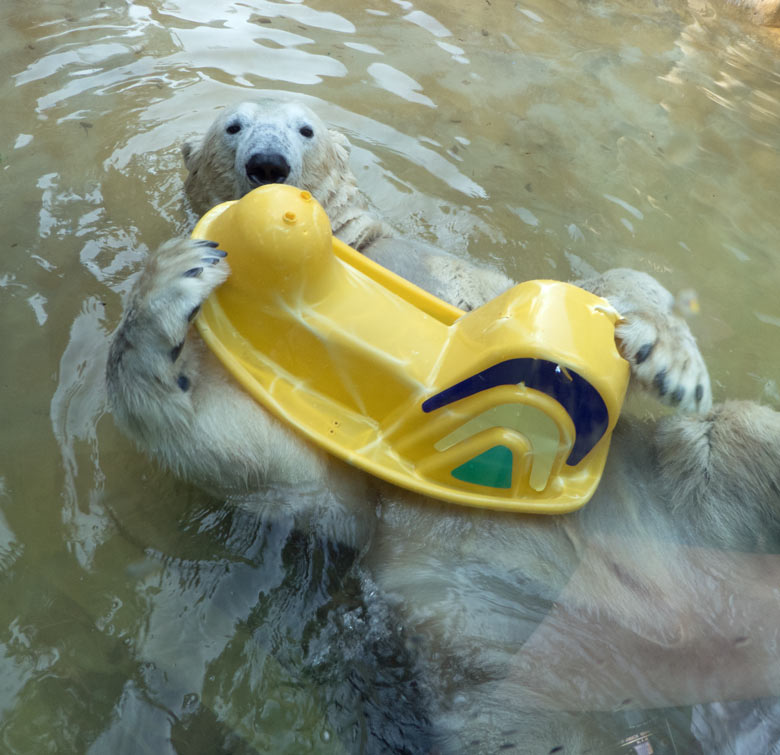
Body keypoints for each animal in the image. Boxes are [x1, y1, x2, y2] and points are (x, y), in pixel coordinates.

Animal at [108, 97, 780, 752]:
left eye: (305, 129)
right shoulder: (345, 477)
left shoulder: (452, 272)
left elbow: (571, 293)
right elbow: (266, 460)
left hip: (676, 511)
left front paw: (667, 359)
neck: (357, 256)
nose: (268, 164)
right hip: (505, 670)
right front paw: (177, 275)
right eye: (233, 125)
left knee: (738, 438)